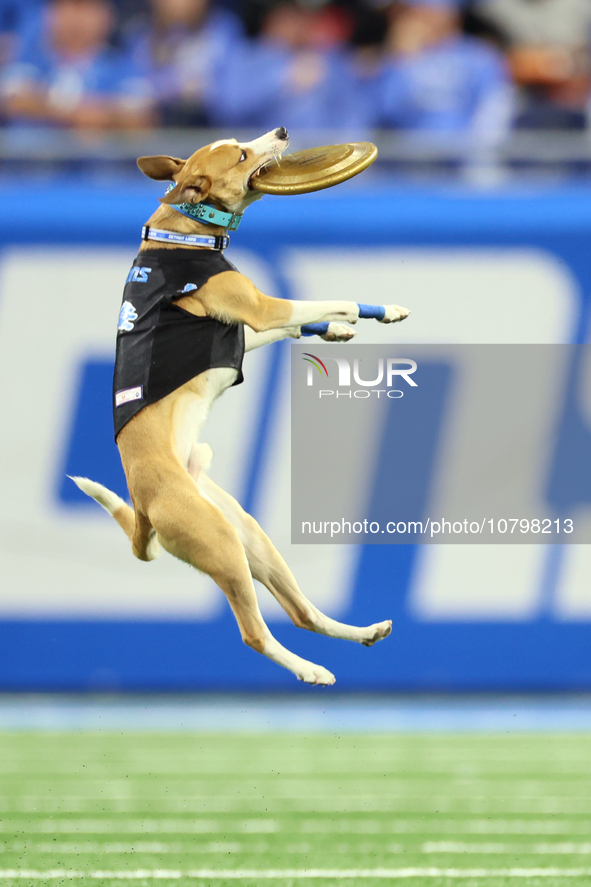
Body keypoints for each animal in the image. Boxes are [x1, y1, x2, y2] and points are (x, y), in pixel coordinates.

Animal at [71, 128, 410, 688]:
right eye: (243, 154)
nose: (282, 132)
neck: (182, 235)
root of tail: (143, 506)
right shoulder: (260, 307)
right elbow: (322, 304)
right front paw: (360, 314)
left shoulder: (237, 334)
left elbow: (293, 327)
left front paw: (349, 326)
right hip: (222, 545)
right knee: (254, 633)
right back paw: (310, 670)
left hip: (247, 532)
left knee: (301, 612)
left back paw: (361, 633)